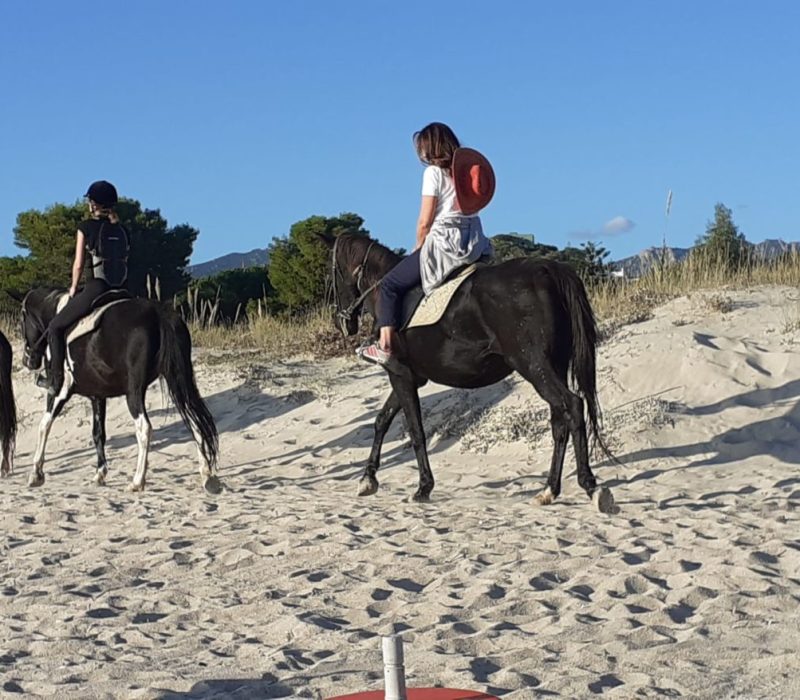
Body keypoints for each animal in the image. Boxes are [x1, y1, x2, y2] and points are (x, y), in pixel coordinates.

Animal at [13, 287, 221, 493]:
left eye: (22, 321)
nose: (28, 361)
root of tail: (159, 313)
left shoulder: (60, 391)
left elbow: (44, 425)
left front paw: (36, 474)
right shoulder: (97, 395)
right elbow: (98, 433)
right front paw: (100, 474)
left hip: (134, 392)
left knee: (145, 428)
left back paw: (137, 481)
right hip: (176, 378)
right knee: (194, 419)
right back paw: (207, 475)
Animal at [325, 233, 615, 512]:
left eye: (333, 273)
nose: (343, 324)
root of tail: (548, 269)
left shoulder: (400, 375)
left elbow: (415, 431)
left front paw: (422, 488)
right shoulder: (410, 378)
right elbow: (382, 421)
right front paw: (368, 479)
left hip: (534, 366)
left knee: (573, 405)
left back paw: (590, 485)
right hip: (553, 366)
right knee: (559, 420)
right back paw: (549, 490)